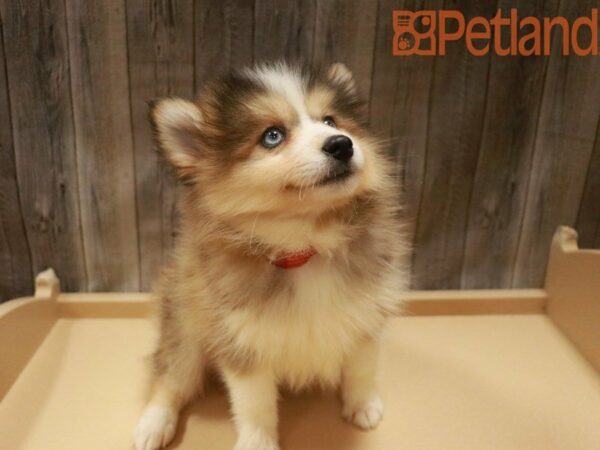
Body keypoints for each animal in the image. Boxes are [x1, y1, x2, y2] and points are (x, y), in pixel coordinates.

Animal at [135, 60, 408, 450]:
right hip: (185, 330)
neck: (306, 246)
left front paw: (363, 406)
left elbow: (362, 369)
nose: (342, 144)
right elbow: (255, 405)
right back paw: (153, 424)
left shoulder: (366, 318)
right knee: (170, 377)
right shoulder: (241, 343)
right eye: (272, 136)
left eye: (331, 121)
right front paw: (257, 442)